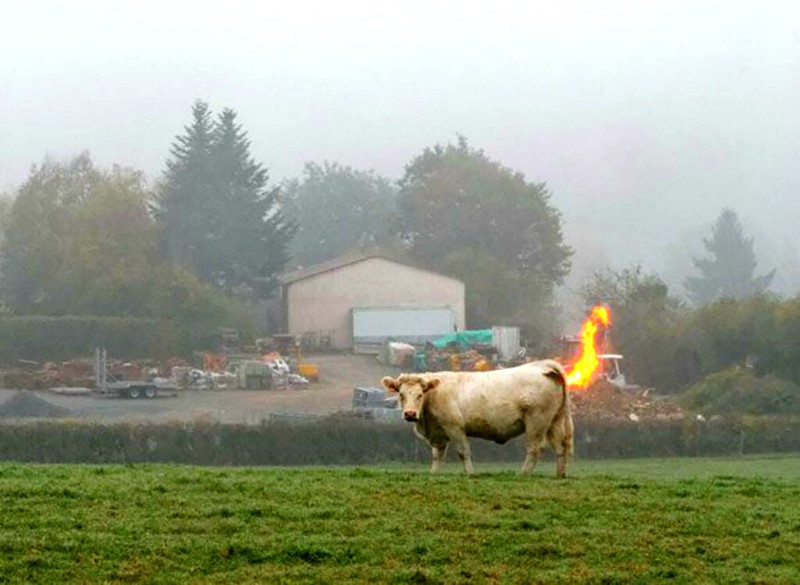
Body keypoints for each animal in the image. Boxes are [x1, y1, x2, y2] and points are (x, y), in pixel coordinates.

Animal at [382, 358, 576, 476]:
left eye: (420, 394)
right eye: (401, 394)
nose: (410, 414)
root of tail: (542, 365)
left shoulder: (455, 427)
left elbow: (463, 452)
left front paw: (470, 474)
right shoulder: (438, 433)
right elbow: (437, 455)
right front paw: (434, 474)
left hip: (537, 421)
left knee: (535, 448)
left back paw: (523, 474)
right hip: (554, 421)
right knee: (560, 448)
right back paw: (560, 475)